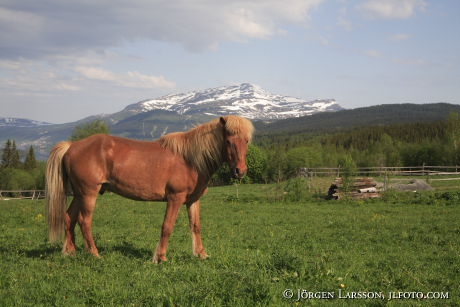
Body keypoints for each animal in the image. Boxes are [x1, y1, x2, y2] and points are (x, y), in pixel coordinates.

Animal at [45, 116, 253, 264]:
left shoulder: (193, 200)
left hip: (79, 194)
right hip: (89, 193)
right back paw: (95, 254)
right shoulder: (175, 198)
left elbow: (196, 226)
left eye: (246, 141)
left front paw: (201, 254)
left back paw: (70, 252)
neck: (190, 159)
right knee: (84, 221)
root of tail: (71, 146)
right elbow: (167, 226)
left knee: (69, 218)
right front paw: (160, 257)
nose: (240, 171)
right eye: (228, 141)